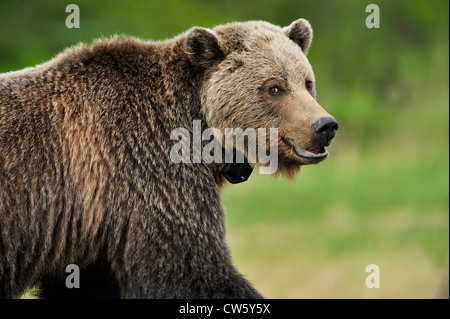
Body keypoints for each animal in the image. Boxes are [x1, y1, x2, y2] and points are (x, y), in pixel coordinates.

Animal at [0, 18, 336, 298]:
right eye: (274, 88)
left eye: (307, 82)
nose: (325, 126)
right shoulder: (145, 167)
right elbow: (190, 267)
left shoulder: (92, 237)